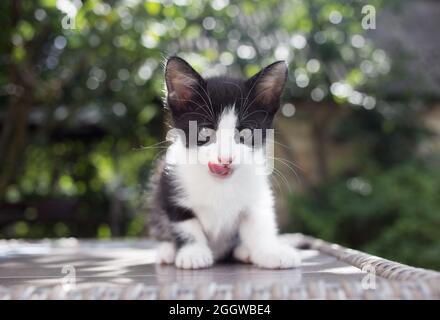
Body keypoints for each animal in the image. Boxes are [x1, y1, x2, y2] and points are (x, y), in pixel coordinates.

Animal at [147, 56, 300, 268]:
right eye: (205, 131)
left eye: (246, 133)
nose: (225, 158)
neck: (219, 183)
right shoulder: (169, 185)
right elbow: (184, 224)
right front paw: (193, 252)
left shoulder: (257, 195)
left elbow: (259, 223)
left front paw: (269, 251)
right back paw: (167, 251)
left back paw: (244, 251)